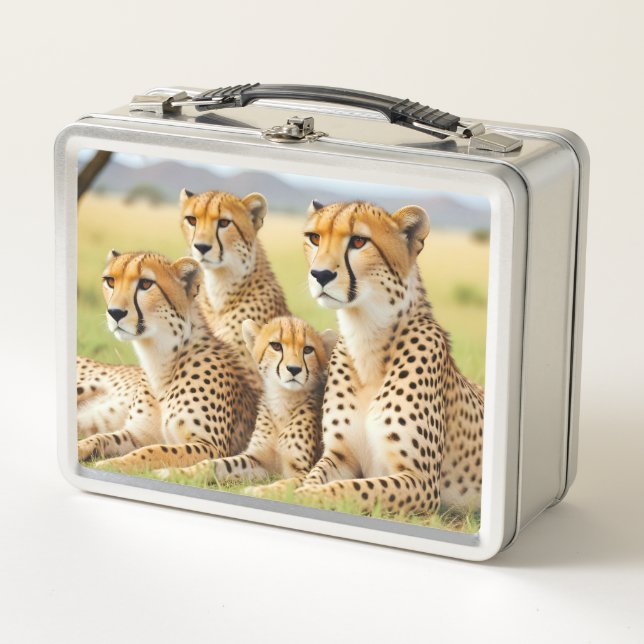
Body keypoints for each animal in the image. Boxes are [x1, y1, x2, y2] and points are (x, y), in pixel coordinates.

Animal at [77, 250, 256, 469]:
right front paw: (81, 448)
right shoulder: (136, 434)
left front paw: (111, 463)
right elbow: (101, 437)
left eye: (146, 284)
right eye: (110, 281)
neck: (160, 359)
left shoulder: (210, 446)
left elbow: (153, 450)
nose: (115, 312)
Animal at [155, 316, 336, 491]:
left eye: (308, 350)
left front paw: (258, 491)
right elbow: (214, 464)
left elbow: (286, 485)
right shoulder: (256, 459)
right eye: (276, 346)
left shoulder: (302, 470)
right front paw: (175, 472)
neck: (283, 401)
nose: (294, 369)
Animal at [290, 200, 484, 515]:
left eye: (359, 241)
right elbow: (312, 477)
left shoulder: (421, 481)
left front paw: (301, 497)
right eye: (314, 237)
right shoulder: (340, 456)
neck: (366, 335)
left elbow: (347, 489)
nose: (320, 274)